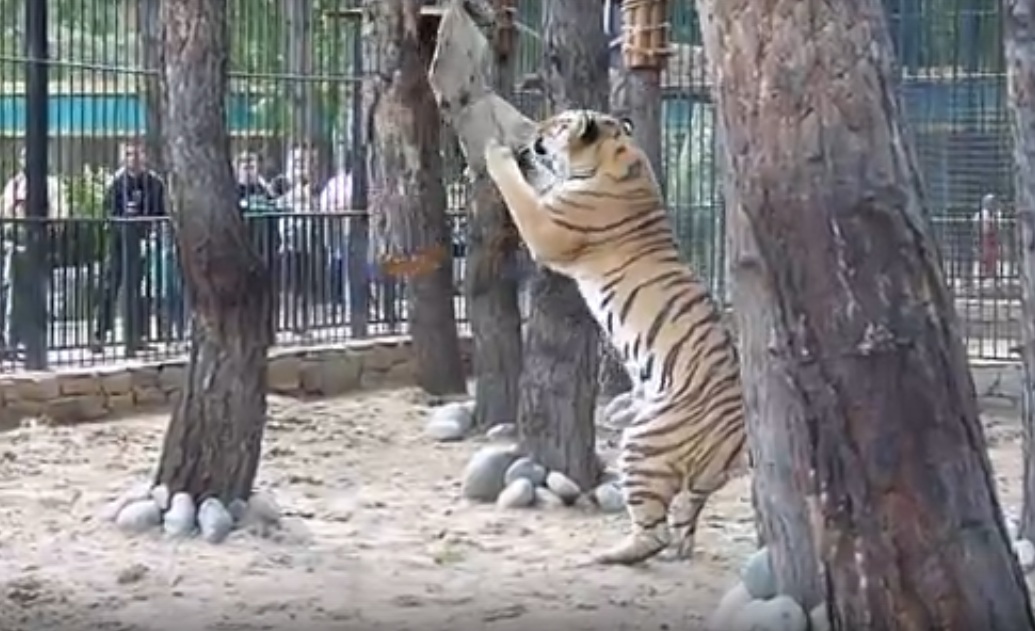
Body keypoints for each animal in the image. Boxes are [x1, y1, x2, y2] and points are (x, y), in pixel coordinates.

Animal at [482, 109, 748, 565]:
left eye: (557, 123)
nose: (534, 133)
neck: (617, 153)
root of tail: (738, 439)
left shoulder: (548, 228)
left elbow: (519, 193)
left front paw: (496, 154)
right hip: (689, 479)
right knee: (684, 517)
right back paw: (676, 551)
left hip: (643, 445)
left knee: (652, 531)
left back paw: (611, 555)